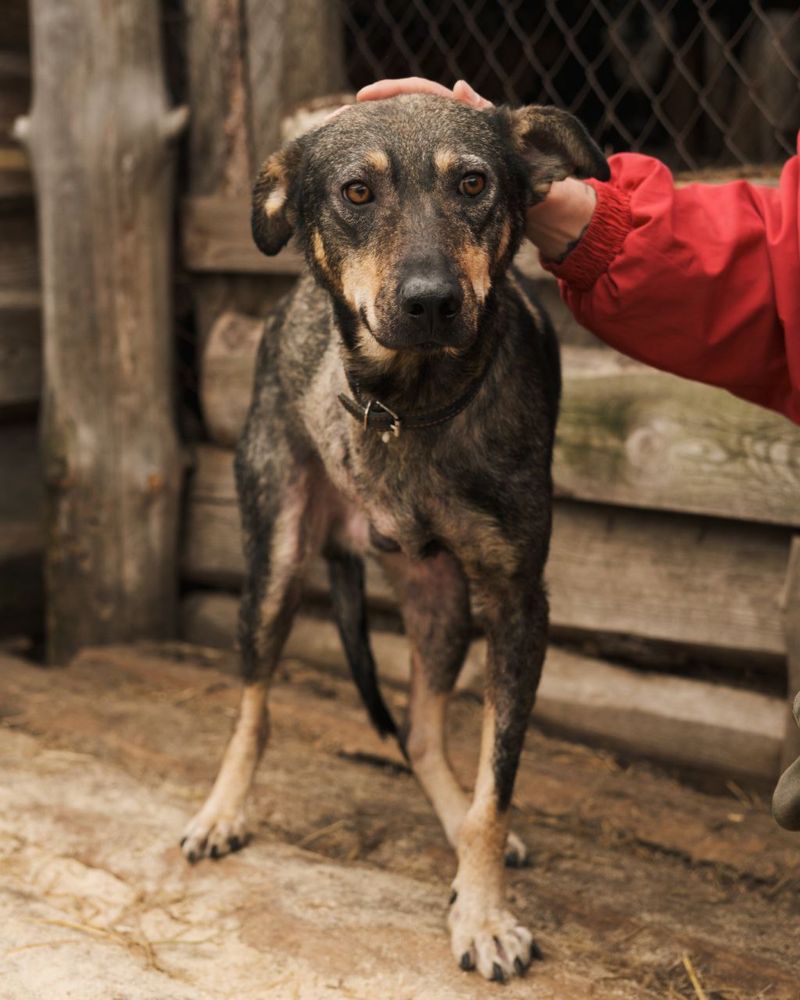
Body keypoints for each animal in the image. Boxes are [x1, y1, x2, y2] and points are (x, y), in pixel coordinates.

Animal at [181, 90, 608, 980]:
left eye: (474, 183)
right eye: (356, 192)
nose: (430, 301)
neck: (410, 407)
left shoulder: (517, 602)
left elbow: (496, 785)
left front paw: (481, 909)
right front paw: (482, 909)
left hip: (441, 600)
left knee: (419, 731)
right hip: (274, 560)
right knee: (254, 705)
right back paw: (222, 811)